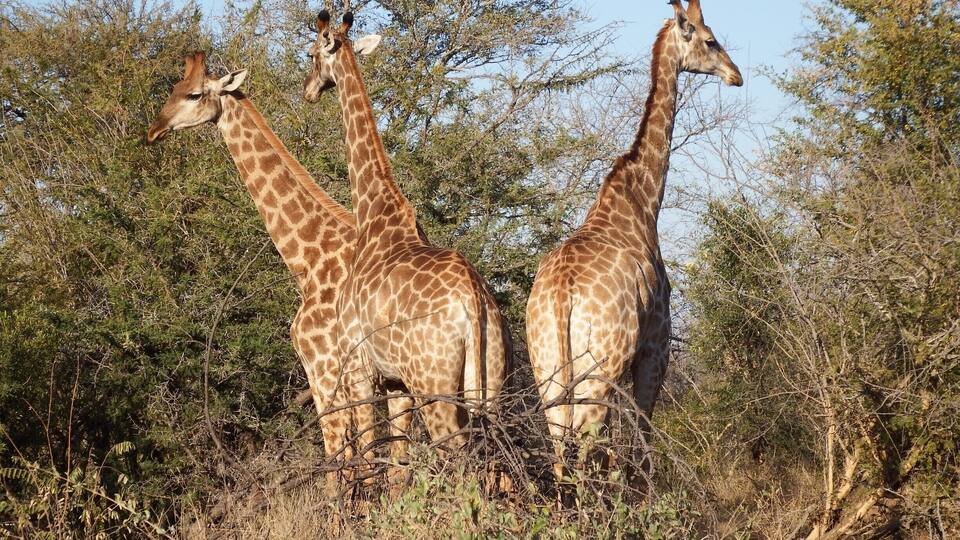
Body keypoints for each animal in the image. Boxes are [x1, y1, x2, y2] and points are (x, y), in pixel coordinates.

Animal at [146, 52, 375, 488]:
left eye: (194, 94)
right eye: (172, 89)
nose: (154, 130)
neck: (307, 260)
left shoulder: (322, 363)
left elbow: (340, 454)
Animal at [302, 10, 510, 464]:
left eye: (311, 54)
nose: (308, 92)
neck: (374, 212)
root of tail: (474, 304)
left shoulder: (360, 369)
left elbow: (369, 451)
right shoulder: (397, 382)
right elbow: (398, 457)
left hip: (435, 385)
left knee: (457, 454)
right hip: (492, 384)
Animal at [525, 0, 743, 484]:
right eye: (710, 40)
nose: (736, 75)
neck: (642, 201)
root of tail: (562, 295)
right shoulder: (654, 347)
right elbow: (638, 445)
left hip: (547, 369)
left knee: (560, 448)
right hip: (598, 372)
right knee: (585, 449)